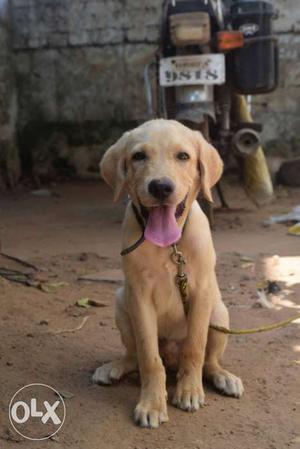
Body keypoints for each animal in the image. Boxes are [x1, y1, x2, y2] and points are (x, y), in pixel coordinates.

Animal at [94, 119, 244, 428]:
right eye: (139, 156)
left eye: (183, 156)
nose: (161, 187)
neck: (169, 245)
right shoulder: (139, 297)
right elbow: (149, 357)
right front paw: (152, 403)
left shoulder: (201, 292)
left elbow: (195, 348)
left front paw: (189, 392)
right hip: (121, 301)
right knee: (134, 356)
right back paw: (114, 368)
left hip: (219, 313)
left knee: (209, 361)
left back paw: (223, 377)